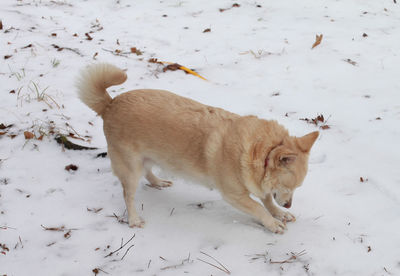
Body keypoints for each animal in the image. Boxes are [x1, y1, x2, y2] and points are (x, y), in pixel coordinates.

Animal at [76, 63, 318, 234]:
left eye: (296, 188)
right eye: (288, 186)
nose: (288, 205)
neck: (262, 150)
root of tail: (110, 104)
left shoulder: (259, 185)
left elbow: (266, 199)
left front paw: (278, 213)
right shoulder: (235, 195)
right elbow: (259, 207)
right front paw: (272, 223)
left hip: (148, 157)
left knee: (148, 172)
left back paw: (158, 182)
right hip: (130, 168)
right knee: (128, 195)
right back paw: (134, 219)